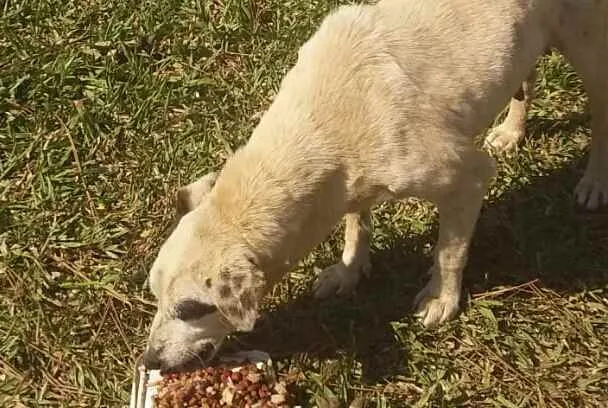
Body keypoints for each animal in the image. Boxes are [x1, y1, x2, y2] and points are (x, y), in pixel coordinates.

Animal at [144, 0, 608, 370]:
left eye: (191, 309)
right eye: (155, 294)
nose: (150, 361)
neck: (319, 124)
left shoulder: (469, 178)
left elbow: (449, 252)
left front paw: (441, 299)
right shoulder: (347, 183)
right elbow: (357, 224)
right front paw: (349, 271)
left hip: (587, 44)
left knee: (601, 110)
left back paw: (594, 182)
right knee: (525, 79)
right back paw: (512, 132)